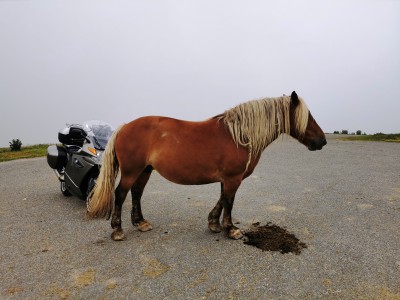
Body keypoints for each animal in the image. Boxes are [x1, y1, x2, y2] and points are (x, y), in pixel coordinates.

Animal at [86, 91, 324, 241]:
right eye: (307, 116)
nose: (322, 141)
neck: (238, 135)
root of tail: (125, 126)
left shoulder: (228, 179)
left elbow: (222, 199)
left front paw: (214, 223)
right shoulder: (233, 178)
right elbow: (229, 202)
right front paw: (231, 229)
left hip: (144, 170)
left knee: (136, 193)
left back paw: (141, 223)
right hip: (131, 171)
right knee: (120, 194)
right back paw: (118, 230)